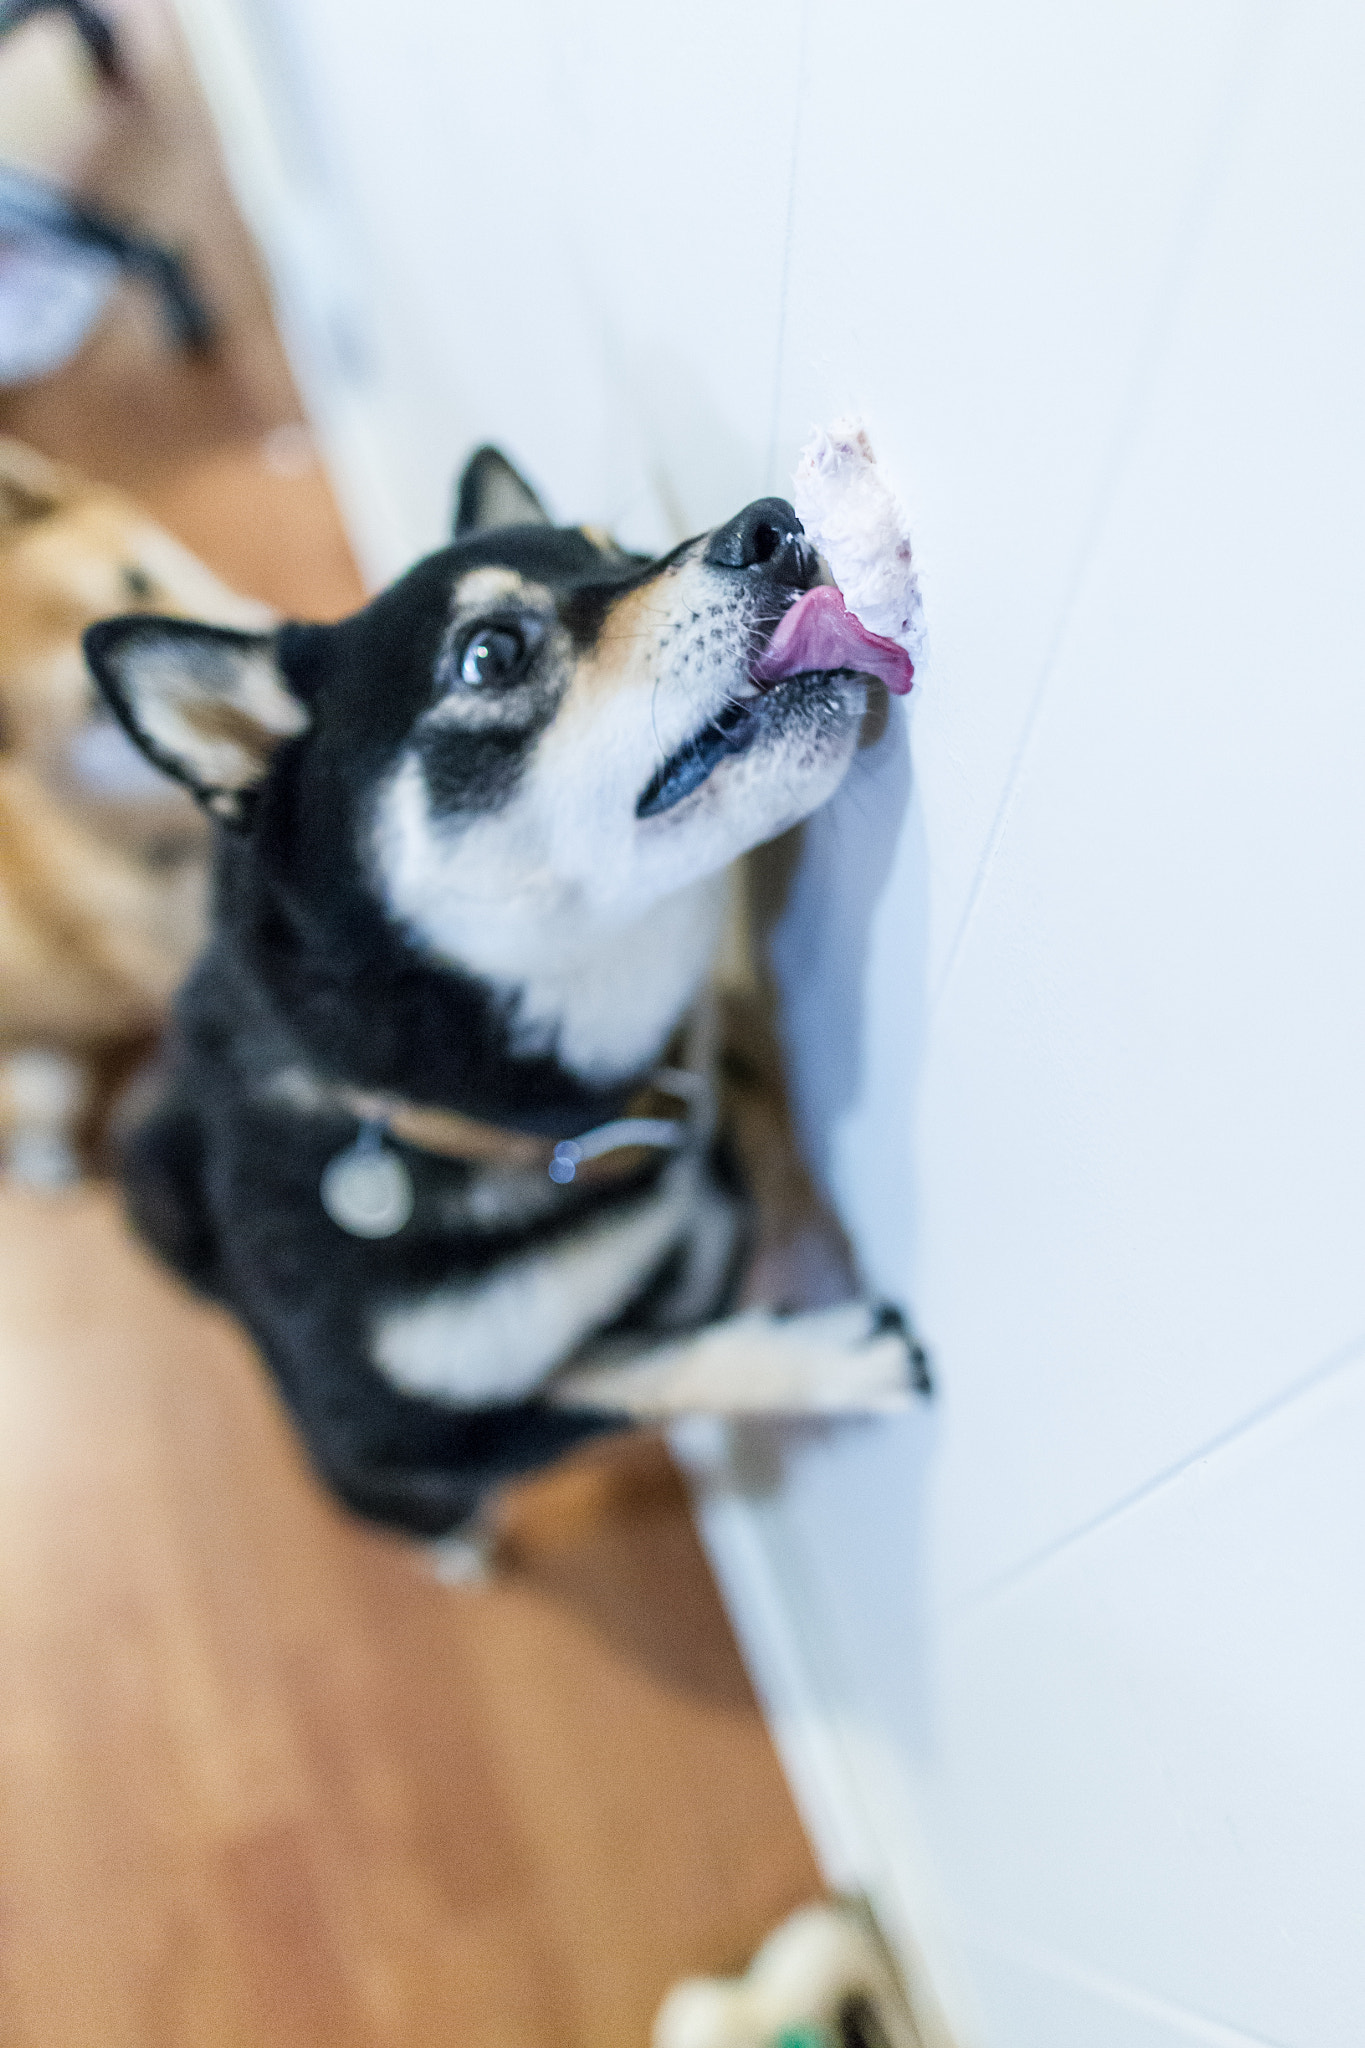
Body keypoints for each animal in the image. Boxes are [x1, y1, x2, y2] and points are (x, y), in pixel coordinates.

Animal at [82, 448, 916, 1540]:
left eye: (618, 550)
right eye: (489, 655)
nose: (776, 525)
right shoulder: (400, 1430)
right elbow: (637, 1369)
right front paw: (833, 1356)